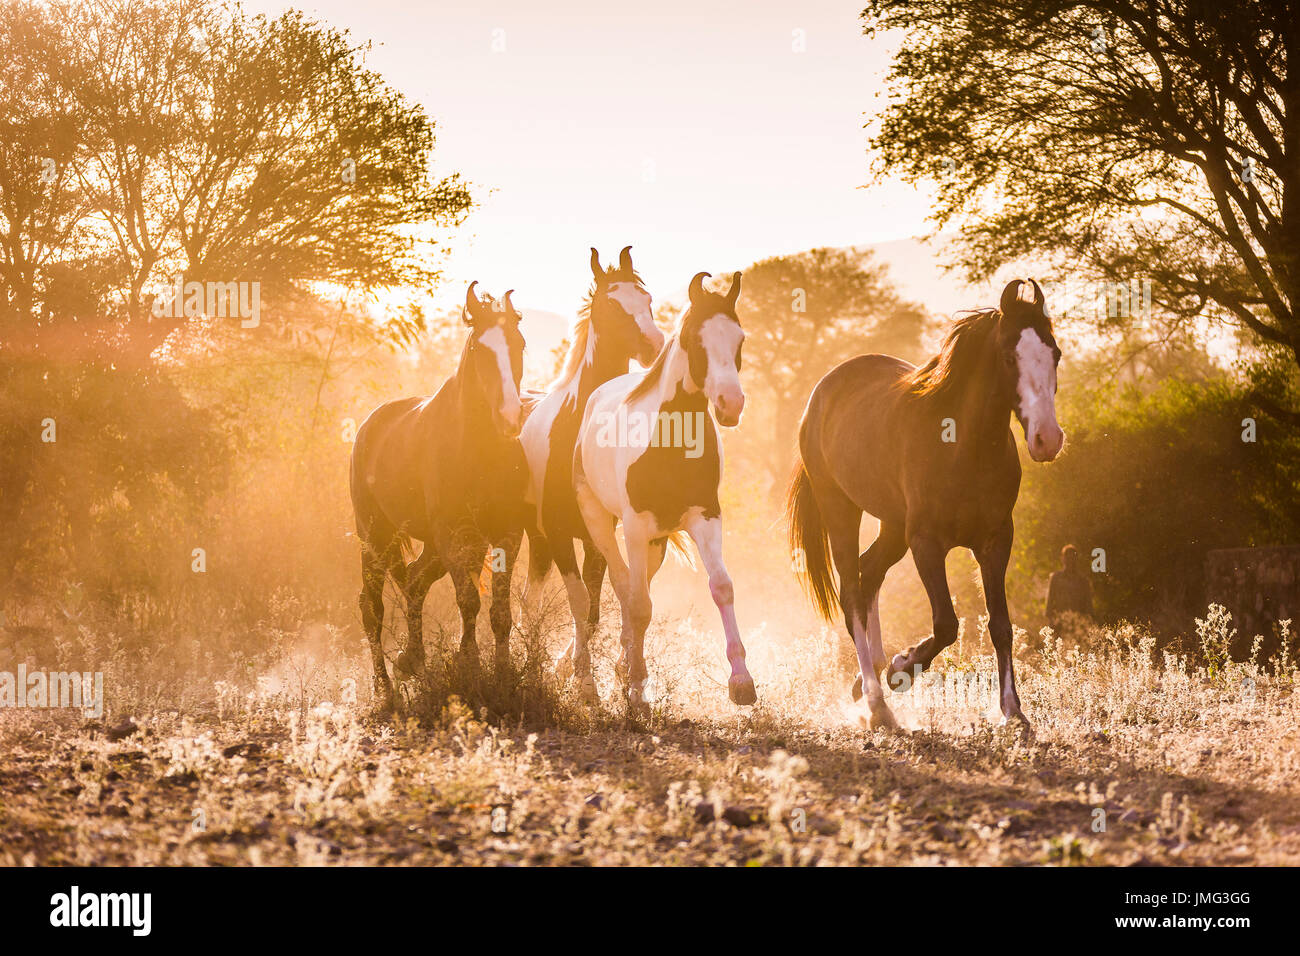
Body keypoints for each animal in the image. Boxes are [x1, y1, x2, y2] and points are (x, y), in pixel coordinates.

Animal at [350, 282, 528, 706]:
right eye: (479, 348)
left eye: (520, 344)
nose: (510, 418)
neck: (479, 449)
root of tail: (367, 427)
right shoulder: (454, 535)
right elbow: (469, 601)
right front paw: (472, 668)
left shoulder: (506, 534)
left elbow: (499, 612)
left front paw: (502, 675)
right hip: (375, 537)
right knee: (371, 607)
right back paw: (385, 691)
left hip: (432, 546)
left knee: (415, 582)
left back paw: (413, 662)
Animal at [519, 246, 664, 699]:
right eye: (613, 305)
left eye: (646, 299)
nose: (654, 347)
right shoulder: (560, 531)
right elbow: (581, 602)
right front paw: (584, 684)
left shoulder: (599, 535)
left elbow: (602, 605)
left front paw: (600, 673)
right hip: (536, 537)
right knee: (530, 602)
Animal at [572, 271, 754, 709]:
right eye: (692, 339)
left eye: (739, 339)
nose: (731, 403)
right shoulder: (635, 527)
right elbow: (639, 605)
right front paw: (638, 688)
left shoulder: (706, 517)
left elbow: (722, 587)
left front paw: (742, 680)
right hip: (602, 525)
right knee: (623, 587)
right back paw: (612, 674)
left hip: (656, 543)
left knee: (635, 589)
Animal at [787, 278, 1064, 733]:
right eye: (1010, 357)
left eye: (1054, 353)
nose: (1048, 439)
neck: (962, 447)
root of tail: (822, 392)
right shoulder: (926, 542)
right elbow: (947, 624)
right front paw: (902, 668)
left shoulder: (995, 540)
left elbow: (1001, 625)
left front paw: (1013, 711)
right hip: (842, 510)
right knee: (851, 593)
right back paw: (878, 702)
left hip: (892, 526)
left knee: (868, 572)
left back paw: (867, 677)